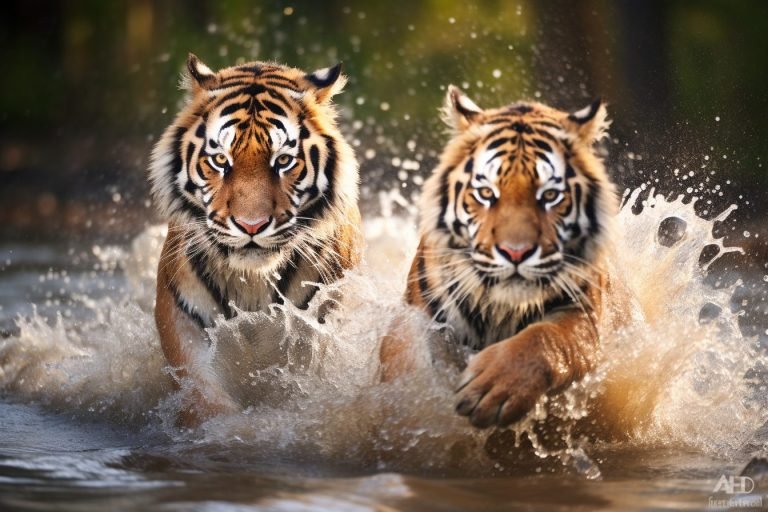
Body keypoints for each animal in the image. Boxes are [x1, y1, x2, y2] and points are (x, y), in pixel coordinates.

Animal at [149, 54, 362, 426]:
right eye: (220, 160)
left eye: (284, 161)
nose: (252, 225)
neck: (251, 280)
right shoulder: (183, 318)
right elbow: (203, 397)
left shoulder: (318, 327)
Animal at [380, 85, 618, 429]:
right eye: (486, 193)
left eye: (550, 195)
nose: (515, 252)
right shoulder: (420, 311)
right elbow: (404, 350)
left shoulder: (587, 314)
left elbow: (543, 338)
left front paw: (494, 388)